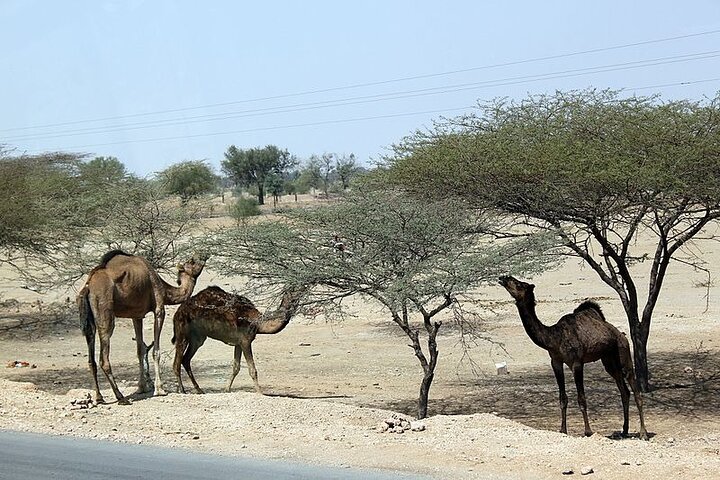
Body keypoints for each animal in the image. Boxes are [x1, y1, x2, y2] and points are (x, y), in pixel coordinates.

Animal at [77, 250, 207, 404]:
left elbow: (140, 350)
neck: (165, 290)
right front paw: (159, 389)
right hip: (104, 311)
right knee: (104, 357)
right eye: (192, 261)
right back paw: (121, 397)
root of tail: (88, 287)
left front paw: (141, 388)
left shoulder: (137, 316)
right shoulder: (159, 309)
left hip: (88, 319)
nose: (204, 255)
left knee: (91, 355)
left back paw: (99, 397)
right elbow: (156, 350)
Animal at [171, 284, 307, 394]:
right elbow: (252, 370)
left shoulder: (238, 343)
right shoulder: (246, 341)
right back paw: (182, 390)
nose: (304, 287)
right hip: (182, 331)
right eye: (293, 290)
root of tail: (178, 312)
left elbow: (236, 367)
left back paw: (198, 390)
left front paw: (226, 389)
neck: (258, 323)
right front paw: (260, 393)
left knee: (186, 359)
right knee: (177, 362)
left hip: (197, 338)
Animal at [498, 276, 648, 440]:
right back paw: (624, 430)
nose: (503, 278)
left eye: (519, 284)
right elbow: (563, 398)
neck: (555, 338)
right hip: (609, 360)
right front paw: (562, 430)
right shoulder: (556, 362)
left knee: (636, 391)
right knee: (624, 391)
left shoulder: (576, 363)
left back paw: (643, 433)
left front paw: (588, 431)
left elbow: (581, 398)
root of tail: (621, 335)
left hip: (623, 353)